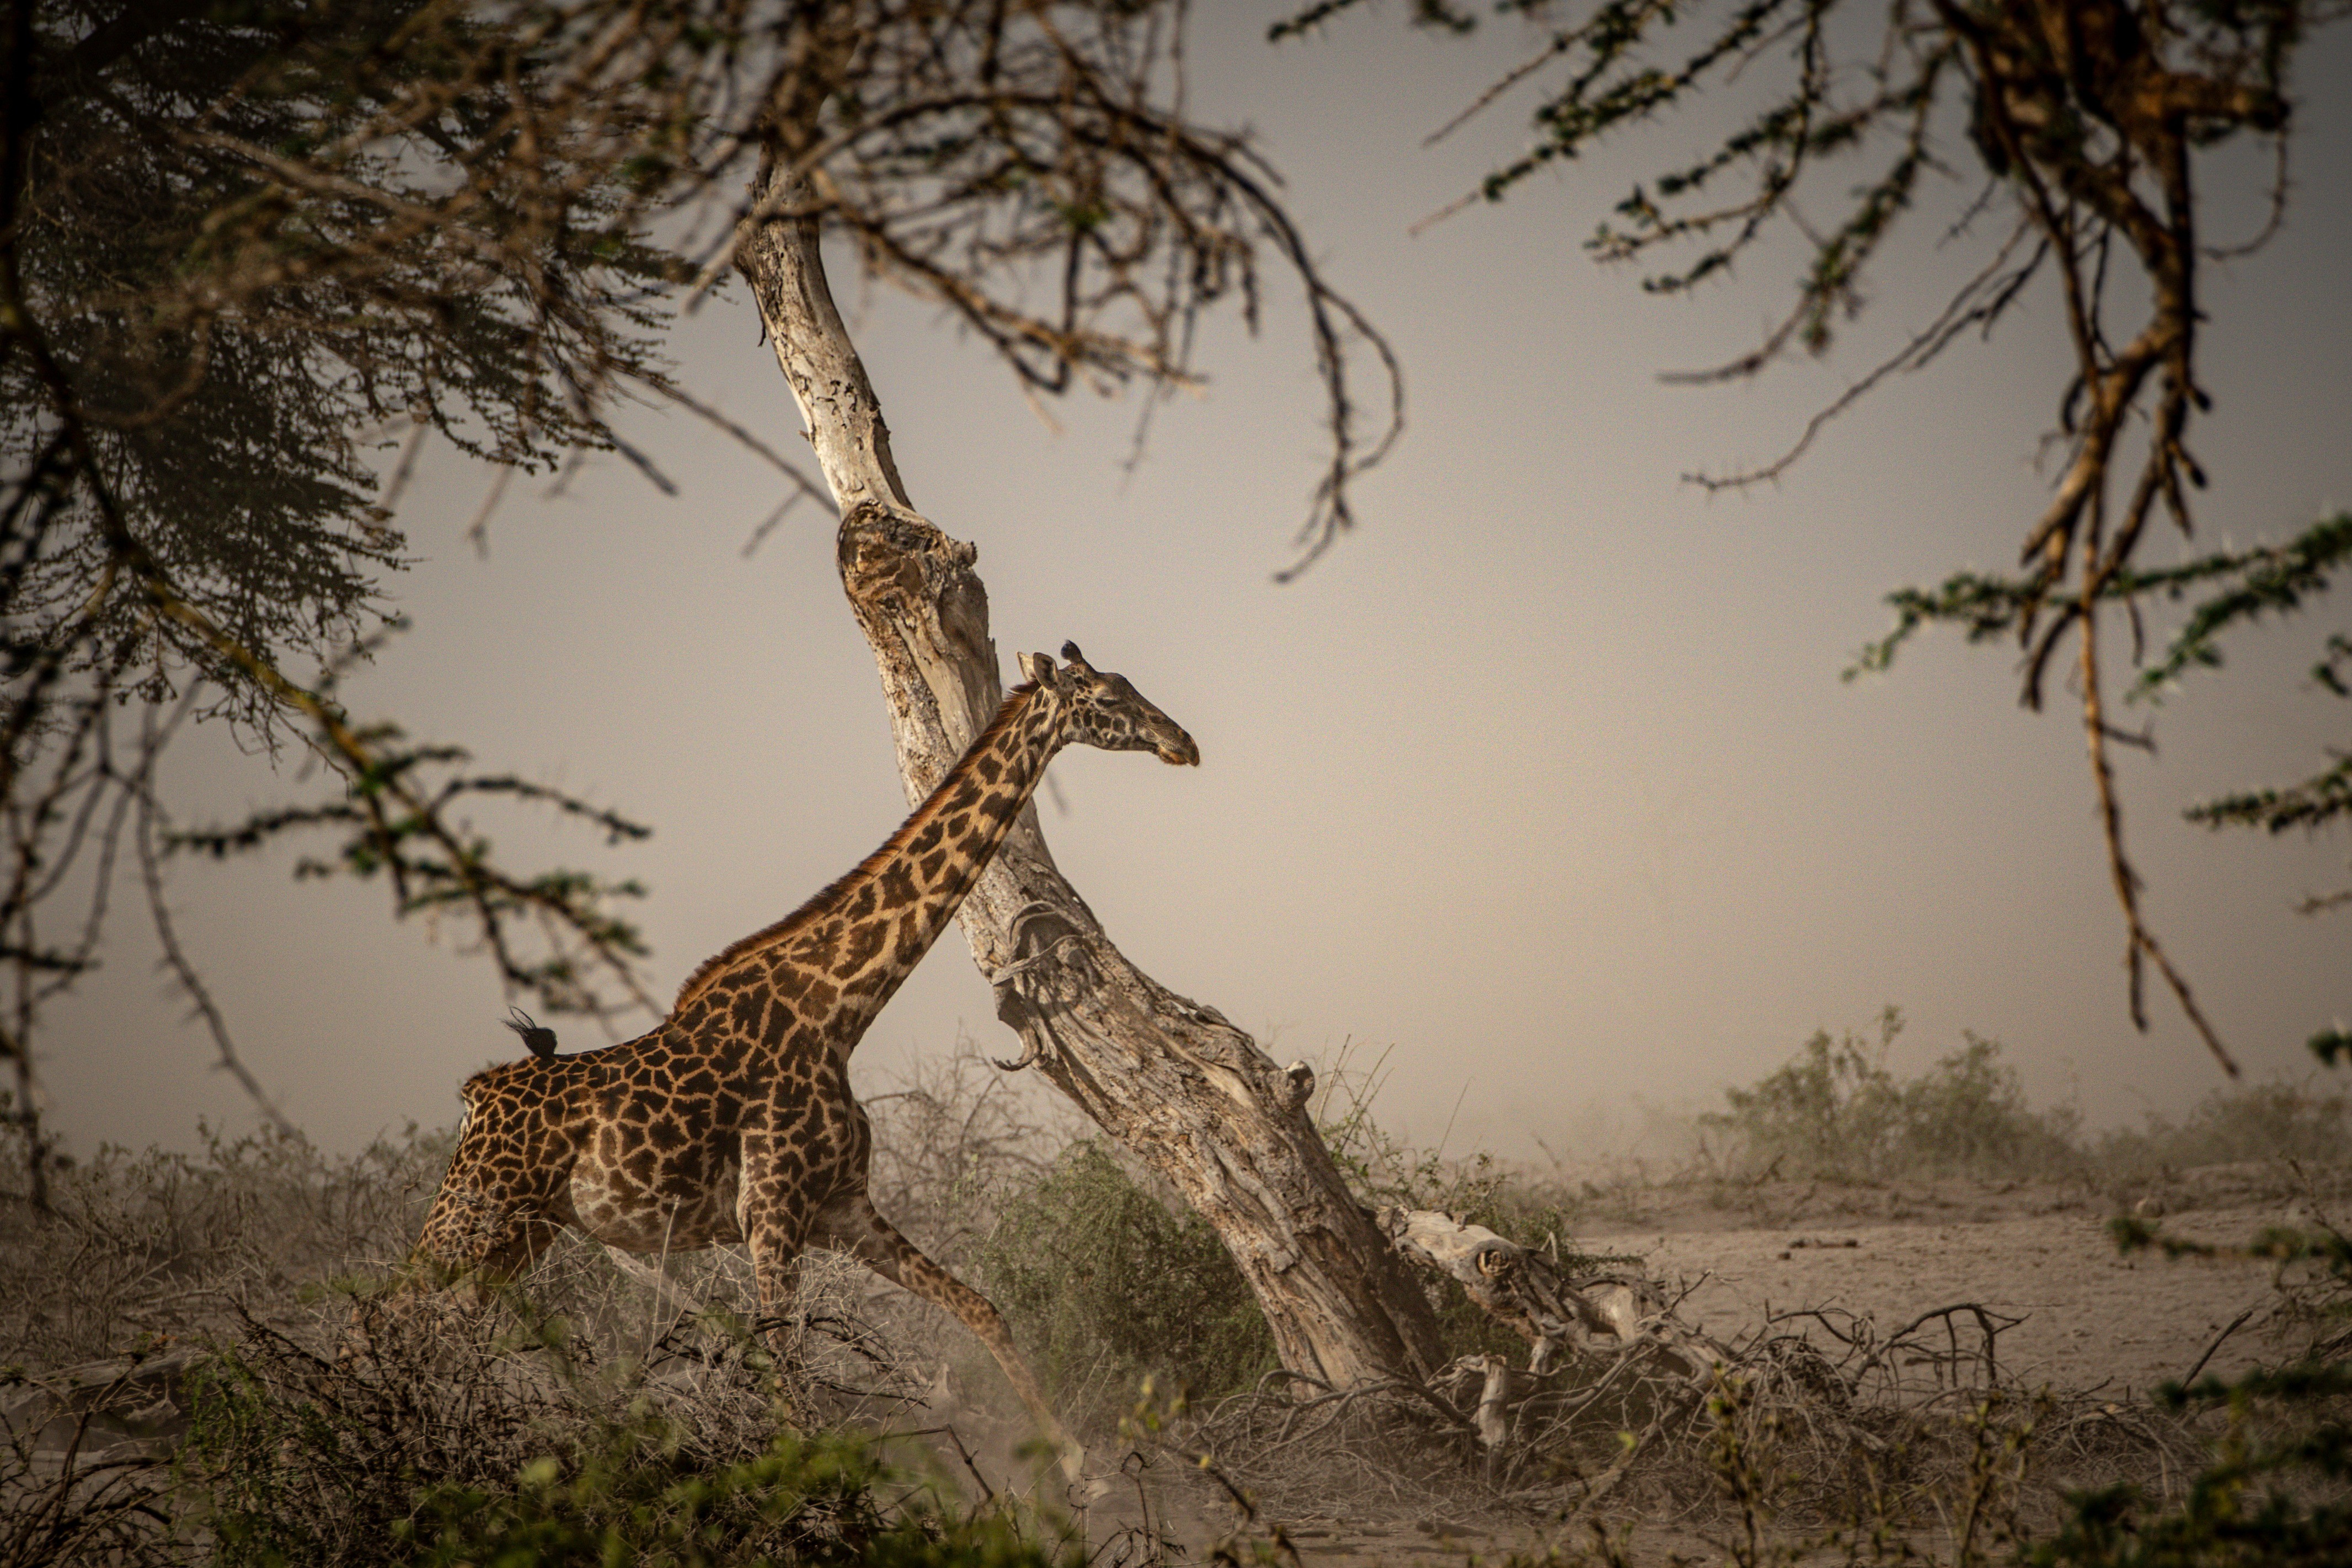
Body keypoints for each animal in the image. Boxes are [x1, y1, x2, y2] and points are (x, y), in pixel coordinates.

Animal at [410, 643, 1197, 1476]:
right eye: (1105, 695)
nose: (1182, 741)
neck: (838, 1012)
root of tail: (477, 1094)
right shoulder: (772, 1212)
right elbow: (789, 1379)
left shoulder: (841, 1206)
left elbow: (981, 1307)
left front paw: (1079, 1467)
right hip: (476, 1212)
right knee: (392, 1310)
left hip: (525, 1231)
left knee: (445, 1327)